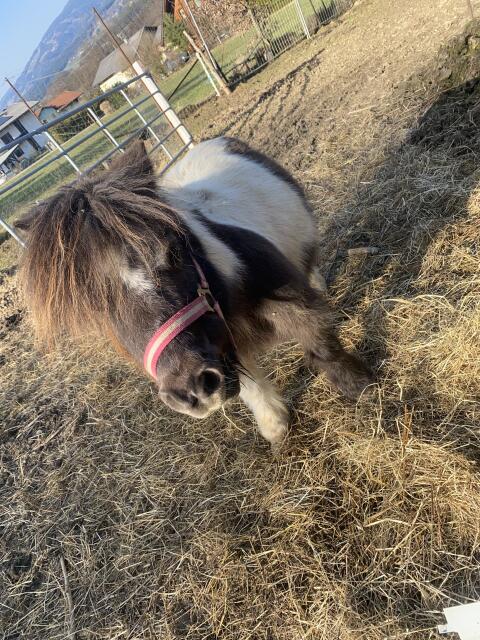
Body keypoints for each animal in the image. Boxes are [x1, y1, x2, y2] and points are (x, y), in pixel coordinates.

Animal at [16, 137, 372, 448]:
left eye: (173, 251)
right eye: (98, 307)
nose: (192, 391)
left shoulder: (292, 307)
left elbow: (322, 347)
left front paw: (363, 389)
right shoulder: (224, 351)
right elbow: (252, 388)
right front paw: (276, 429)